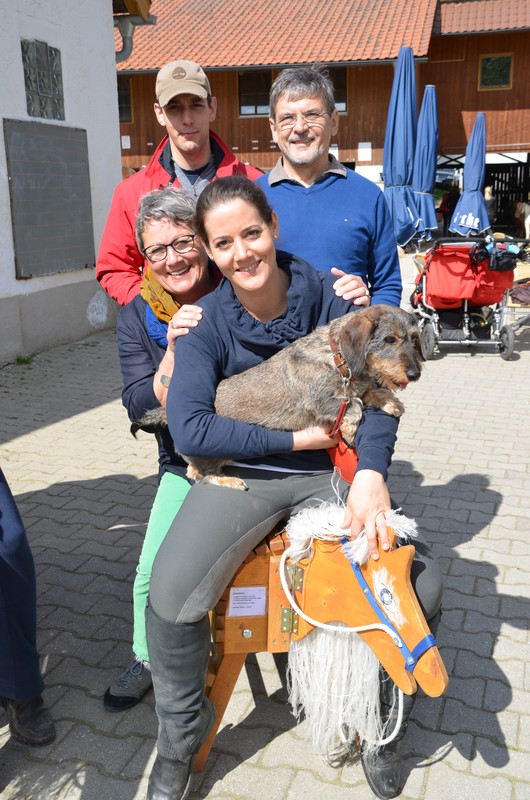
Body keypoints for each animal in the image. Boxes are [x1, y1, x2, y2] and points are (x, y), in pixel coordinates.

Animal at [133, 305, 423, 490]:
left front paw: (389, 401)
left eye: (413, 338)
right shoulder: (324, 402)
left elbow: (364, 393)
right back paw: (229, 480)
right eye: (389, 340)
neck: (338, 359)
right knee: (198, 474)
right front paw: (351, 430)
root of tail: (167, 410)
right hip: (211, 453)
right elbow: (353, 406)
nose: (415, 373)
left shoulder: (354, 386)